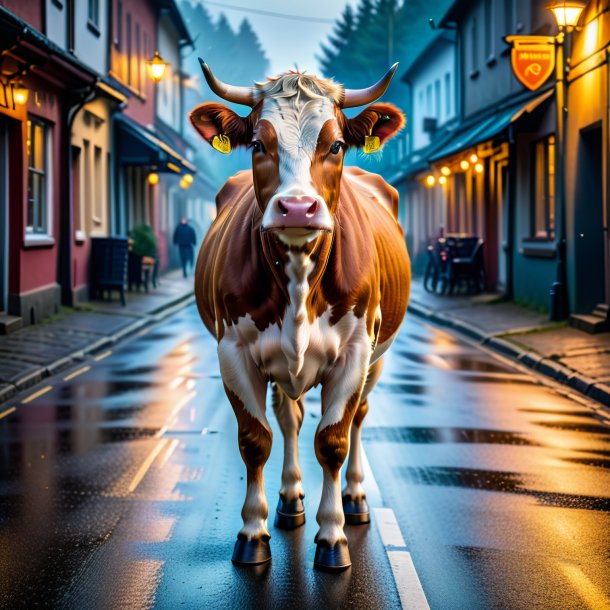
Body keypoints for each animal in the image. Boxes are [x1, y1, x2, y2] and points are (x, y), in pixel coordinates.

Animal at [189, 61, 408, 568]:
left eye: (336, 144)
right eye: (256, 144)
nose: (296, 207)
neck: (298, 272)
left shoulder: (355, 352)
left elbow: (333, 441)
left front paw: (333, 537)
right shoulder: (234, 351)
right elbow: (256, 440)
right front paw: (253, 533)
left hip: (378, 356)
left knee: (360, 416)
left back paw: (356, 499)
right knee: (288, 418)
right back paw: (290, 500)